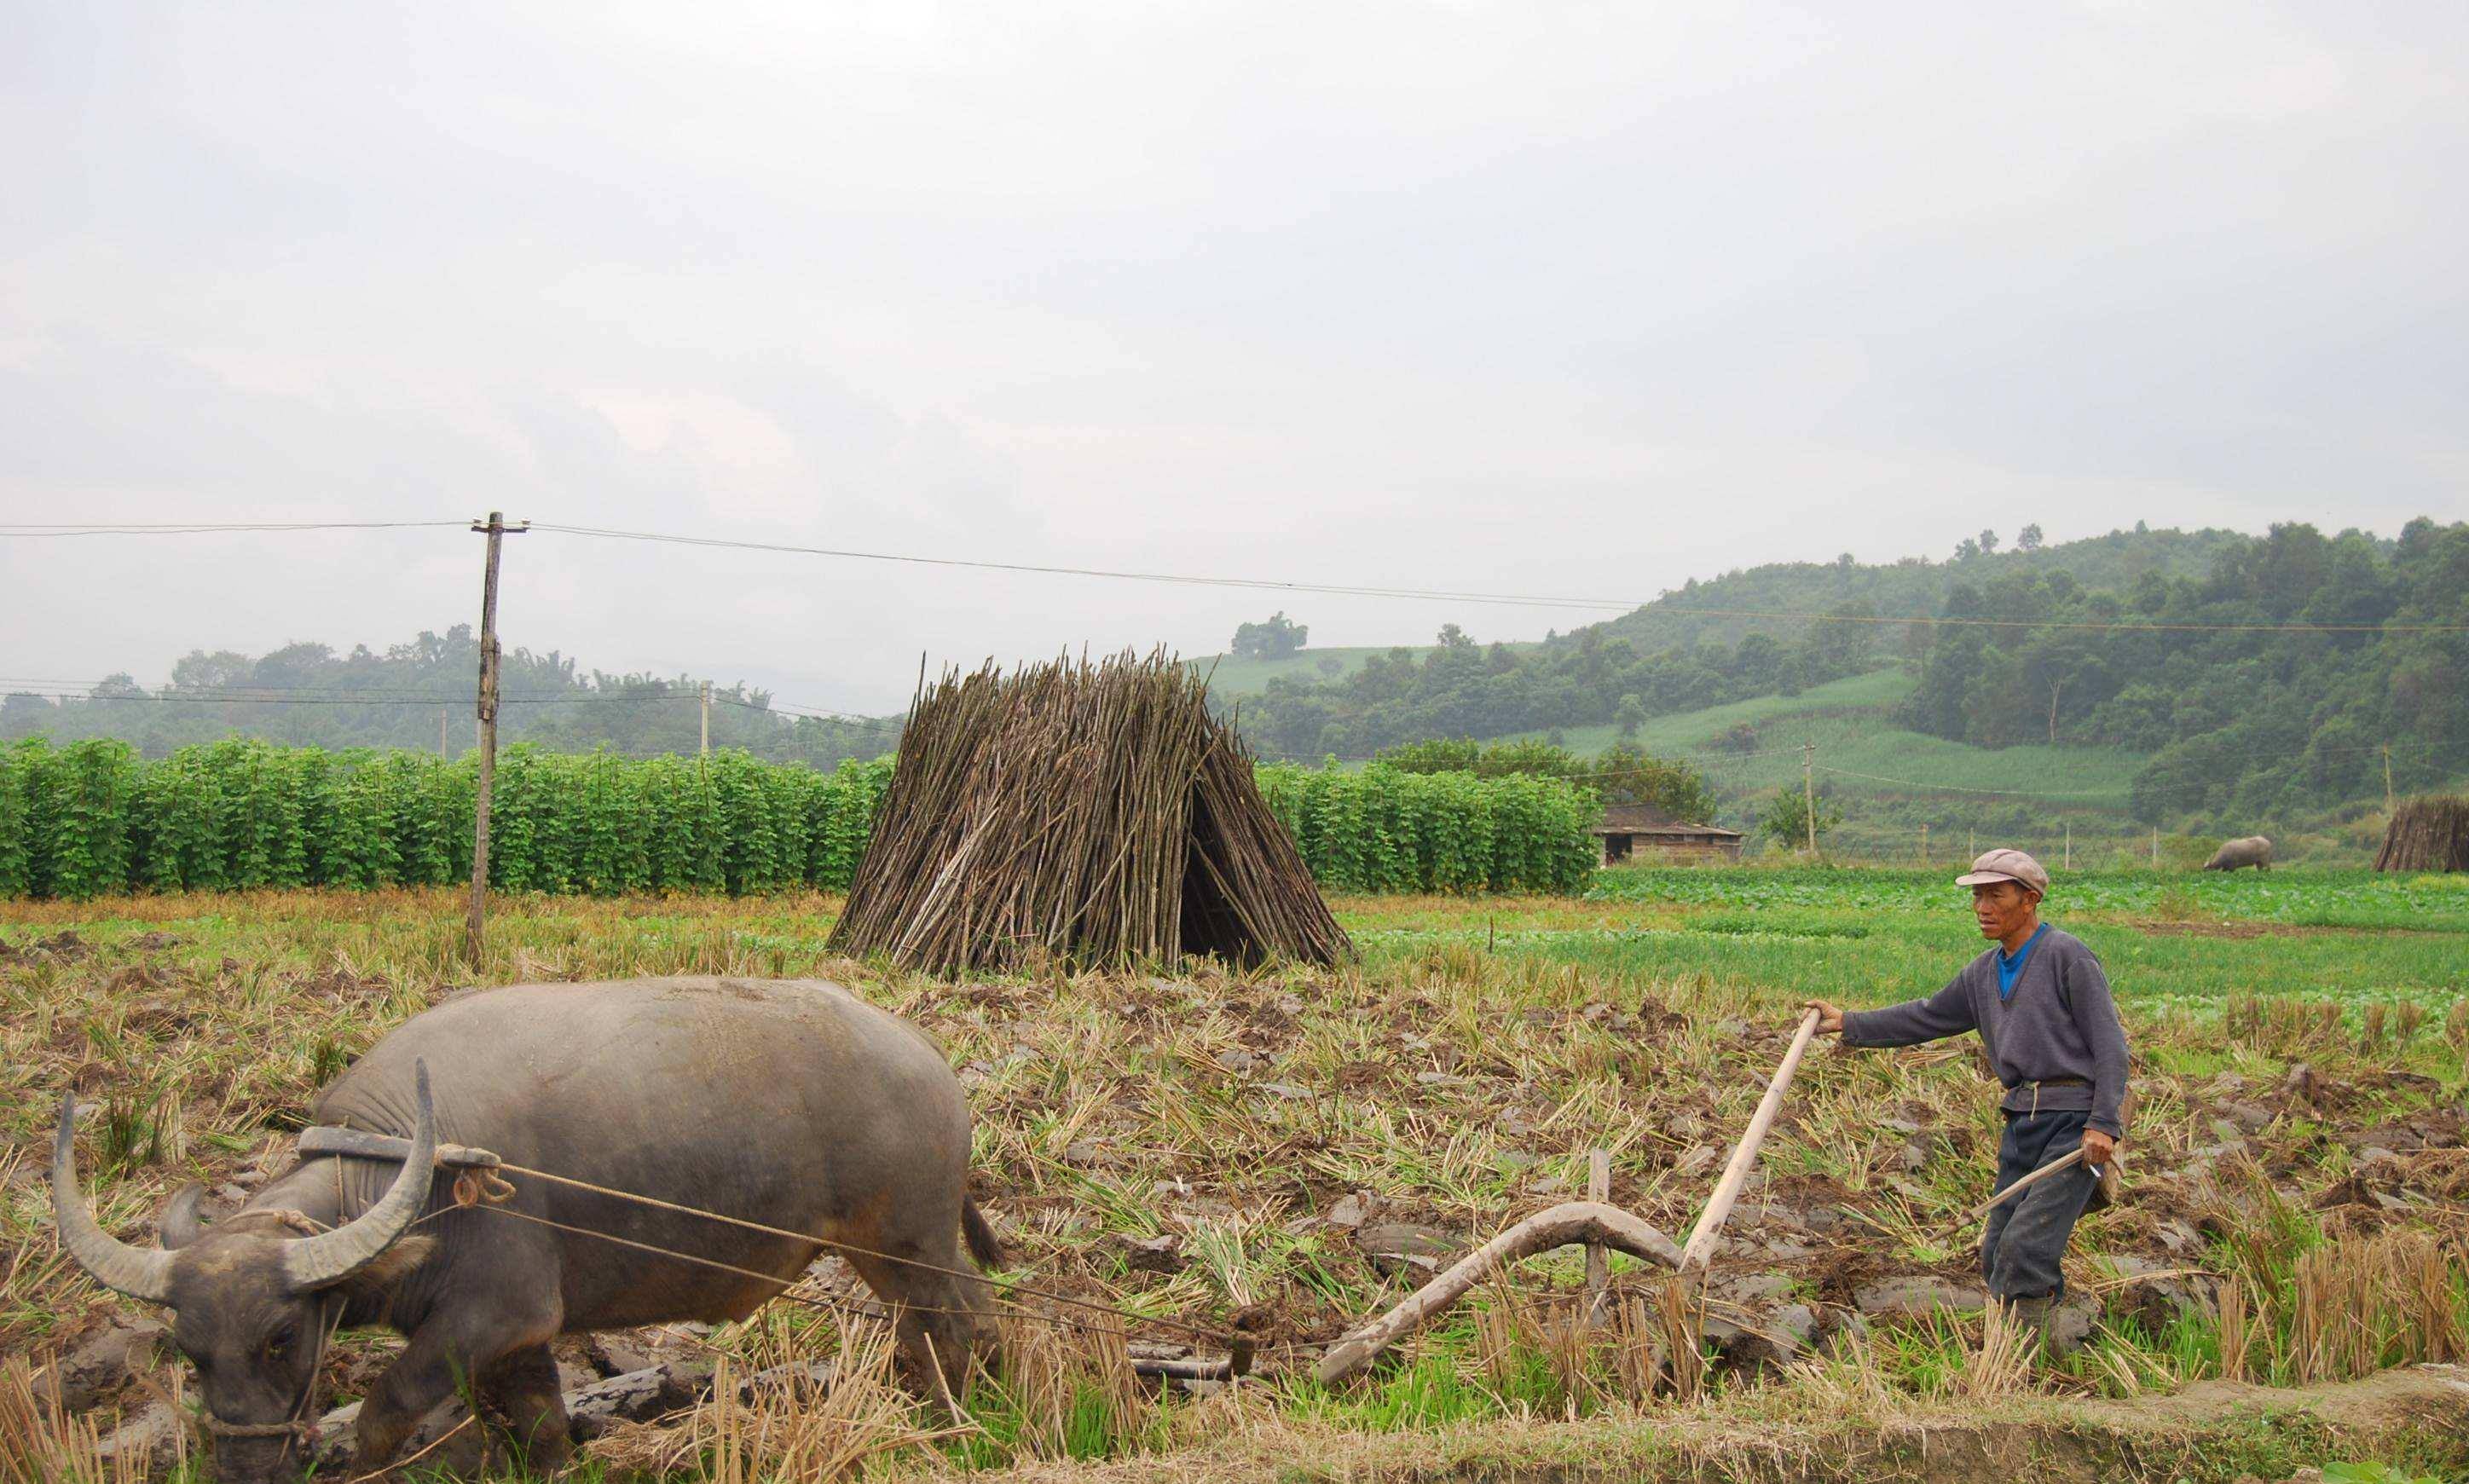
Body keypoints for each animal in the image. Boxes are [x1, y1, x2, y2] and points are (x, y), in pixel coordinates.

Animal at [50, 978, 992, 1471]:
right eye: (190, 1351)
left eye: (283, 1336)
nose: (246, 1465)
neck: (406, 1174)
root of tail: (927, 1056)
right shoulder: (522, 1338)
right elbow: (539, 1419)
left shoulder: (493, 1313)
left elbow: (385, 1408)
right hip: (897, 1247)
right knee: (939, 1319)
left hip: (907, 1240)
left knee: (954, 1318)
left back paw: (953, 1417)